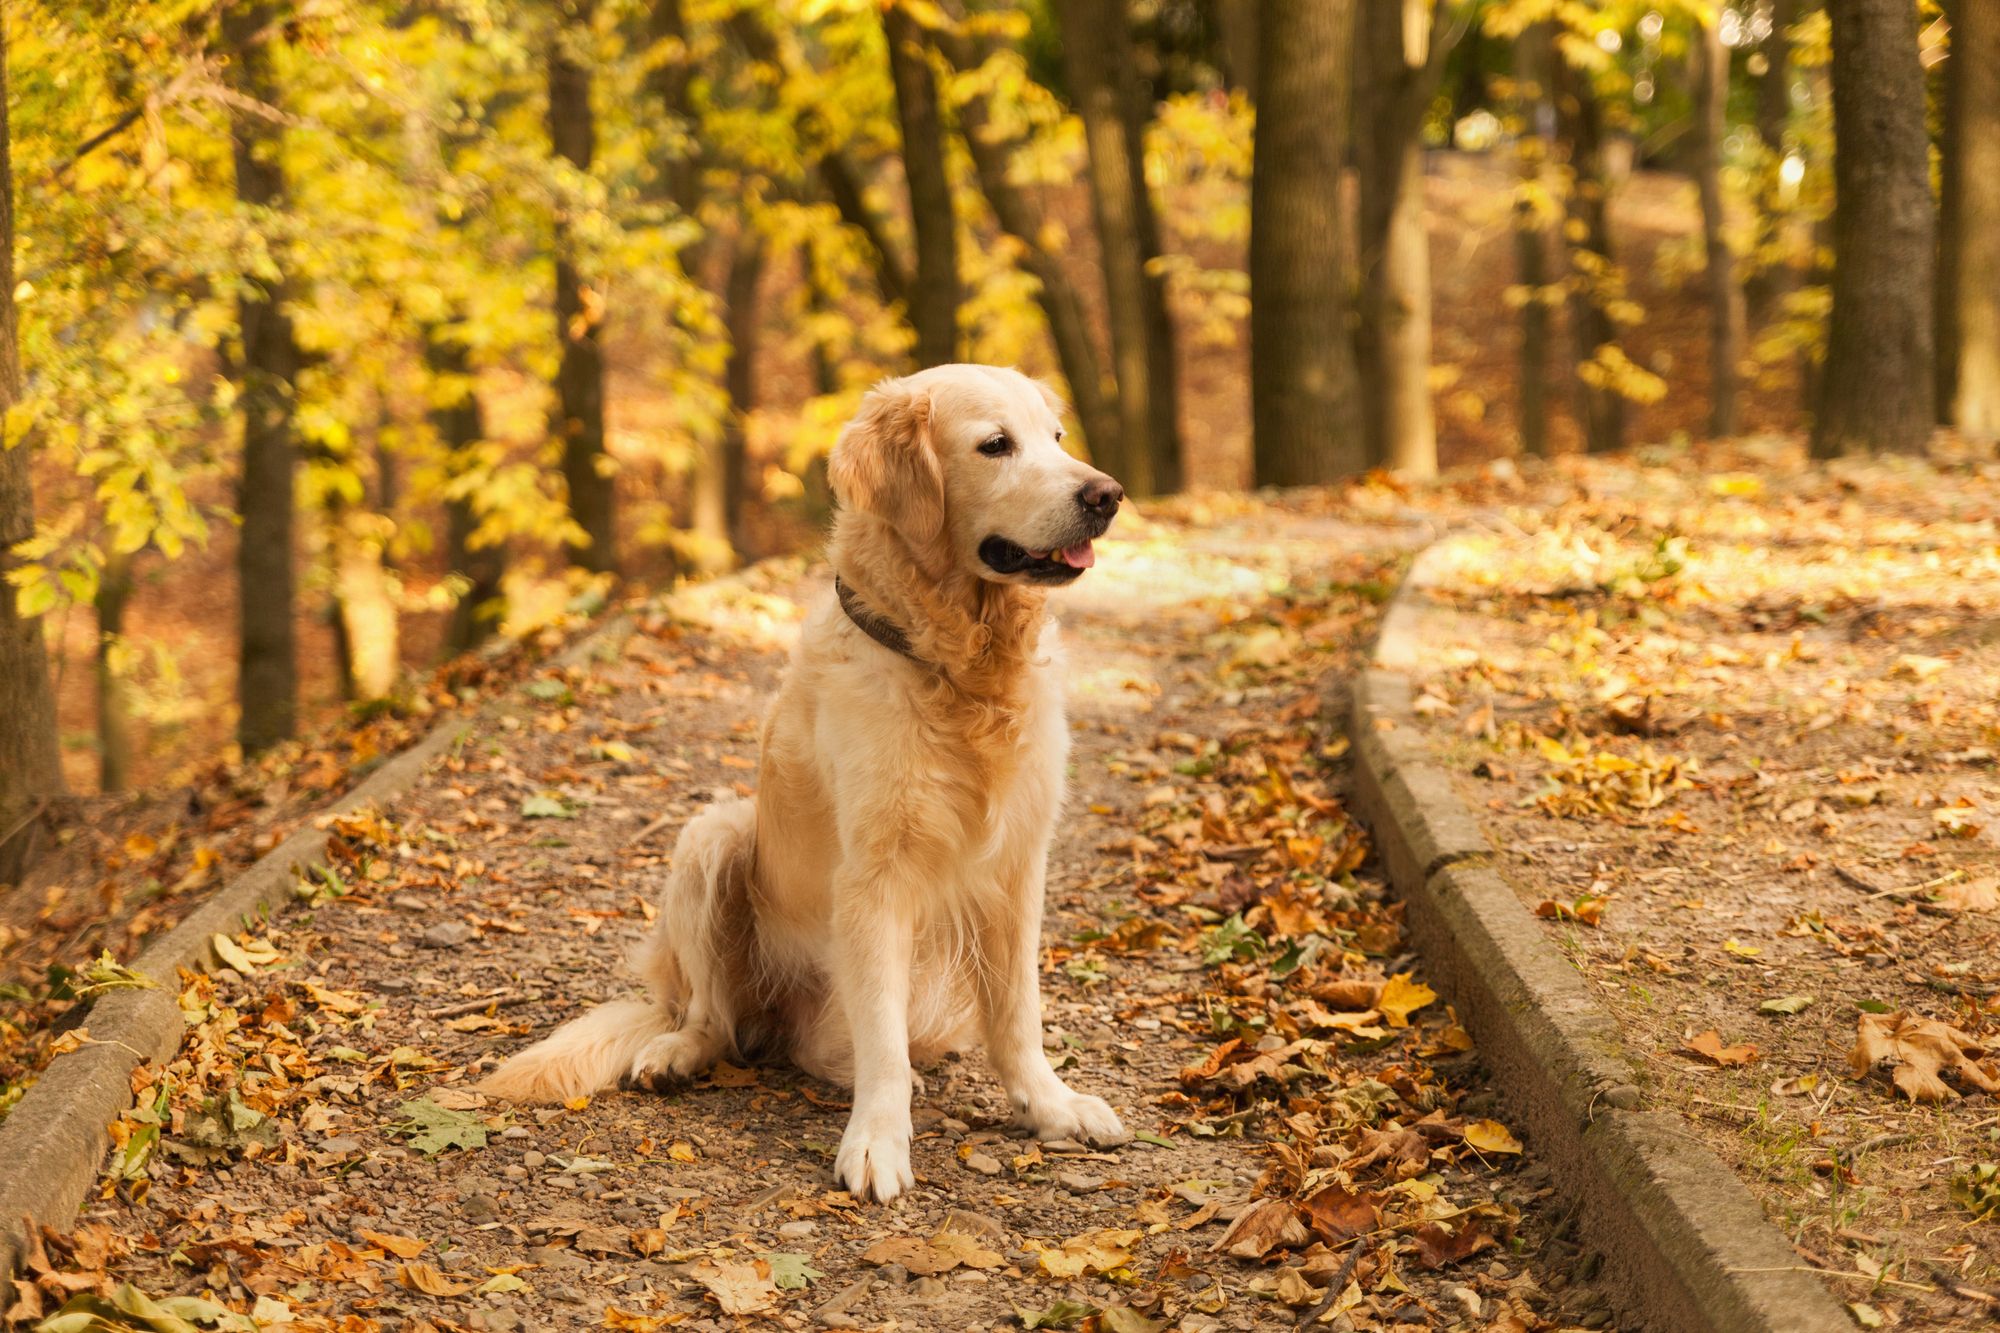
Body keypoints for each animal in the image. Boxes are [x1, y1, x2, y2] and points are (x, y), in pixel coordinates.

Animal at [470, 360, 1128, 1192]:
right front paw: (878, 1140)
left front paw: (1050, 1105)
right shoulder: (872, 877)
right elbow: (882, 1033)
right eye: (995, 445)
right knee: (715, 1018)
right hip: (713, 836)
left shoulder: (1016, 865)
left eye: (1059, 438)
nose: (1107, 494)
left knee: (817, 1046)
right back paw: (677, 1052)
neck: (954, 667)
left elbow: (1017, 1013)